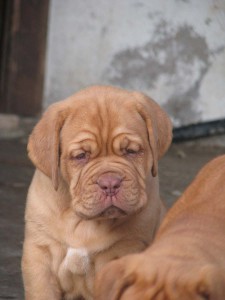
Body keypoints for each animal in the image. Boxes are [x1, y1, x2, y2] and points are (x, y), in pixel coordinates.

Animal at [21, 85, 172, 300]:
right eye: (80, 156)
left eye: (131, 151)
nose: (110, 183)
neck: (82, 222)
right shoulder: (40, 256)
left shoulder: (125, 253)